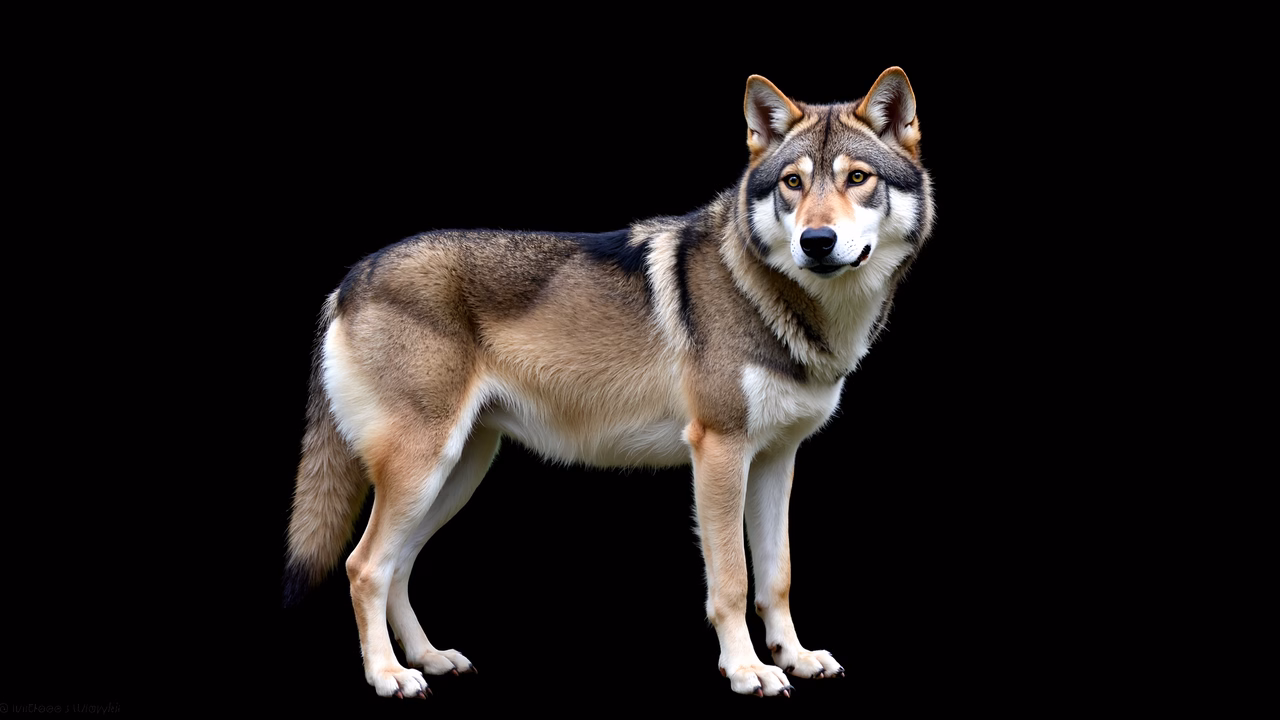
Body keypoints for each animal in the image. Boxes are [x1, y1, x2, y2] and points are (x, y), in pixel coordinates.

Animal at [284, 67, 934, 699]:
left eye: (857, 178)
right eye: (793, 184)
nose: (816, 242)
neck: (791, 306)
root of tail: (348, 281)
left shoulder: (777, 458)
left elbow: (777, 577)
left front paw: (795, 658)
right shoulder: (719, 451)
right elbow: (731, 580)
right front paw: (748, 671)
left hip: (456, 475)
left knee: (398, 567)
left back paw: (428, 659)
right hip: (425, 469)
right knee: (364, 567)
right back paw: (388, 675)